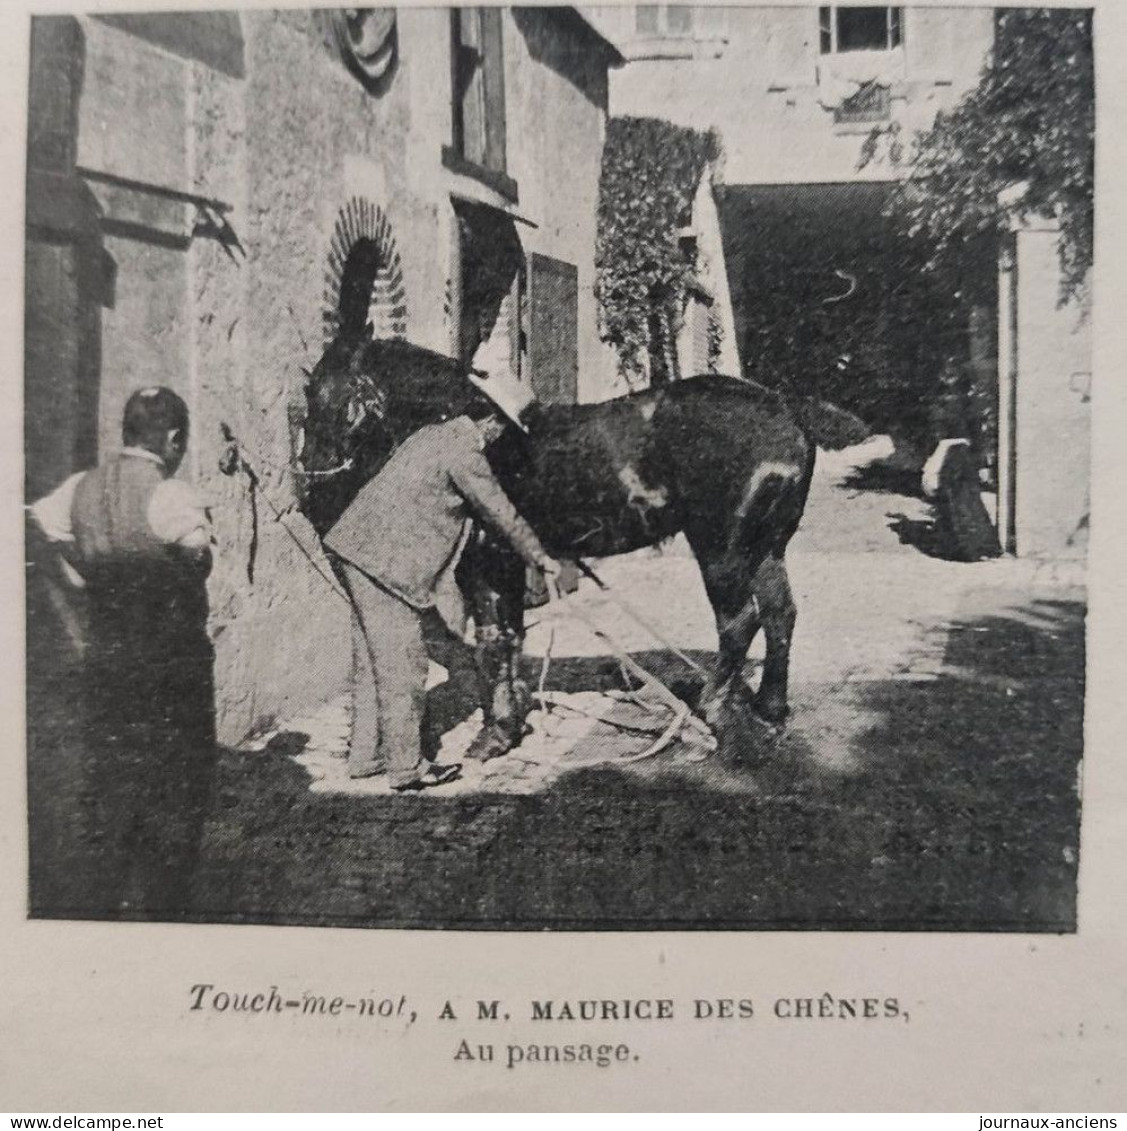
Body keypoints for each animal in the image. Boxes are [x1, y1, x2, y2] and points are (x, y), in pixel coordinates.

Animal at [303, 334, 832, 760]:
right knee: (780, 613)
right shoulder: (510, 565)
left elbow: (491, 643)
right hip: (766, 549)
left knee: (740, 621)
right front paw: (510, 726)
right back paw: (768, 709)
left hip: (721, 549)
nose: (309, 473)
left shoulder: (484, 567)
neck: (480, 429)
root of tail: (785, 413)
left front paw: (491, 737)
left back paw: (716, 710)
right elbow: (510, 639)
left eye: (321, 394)